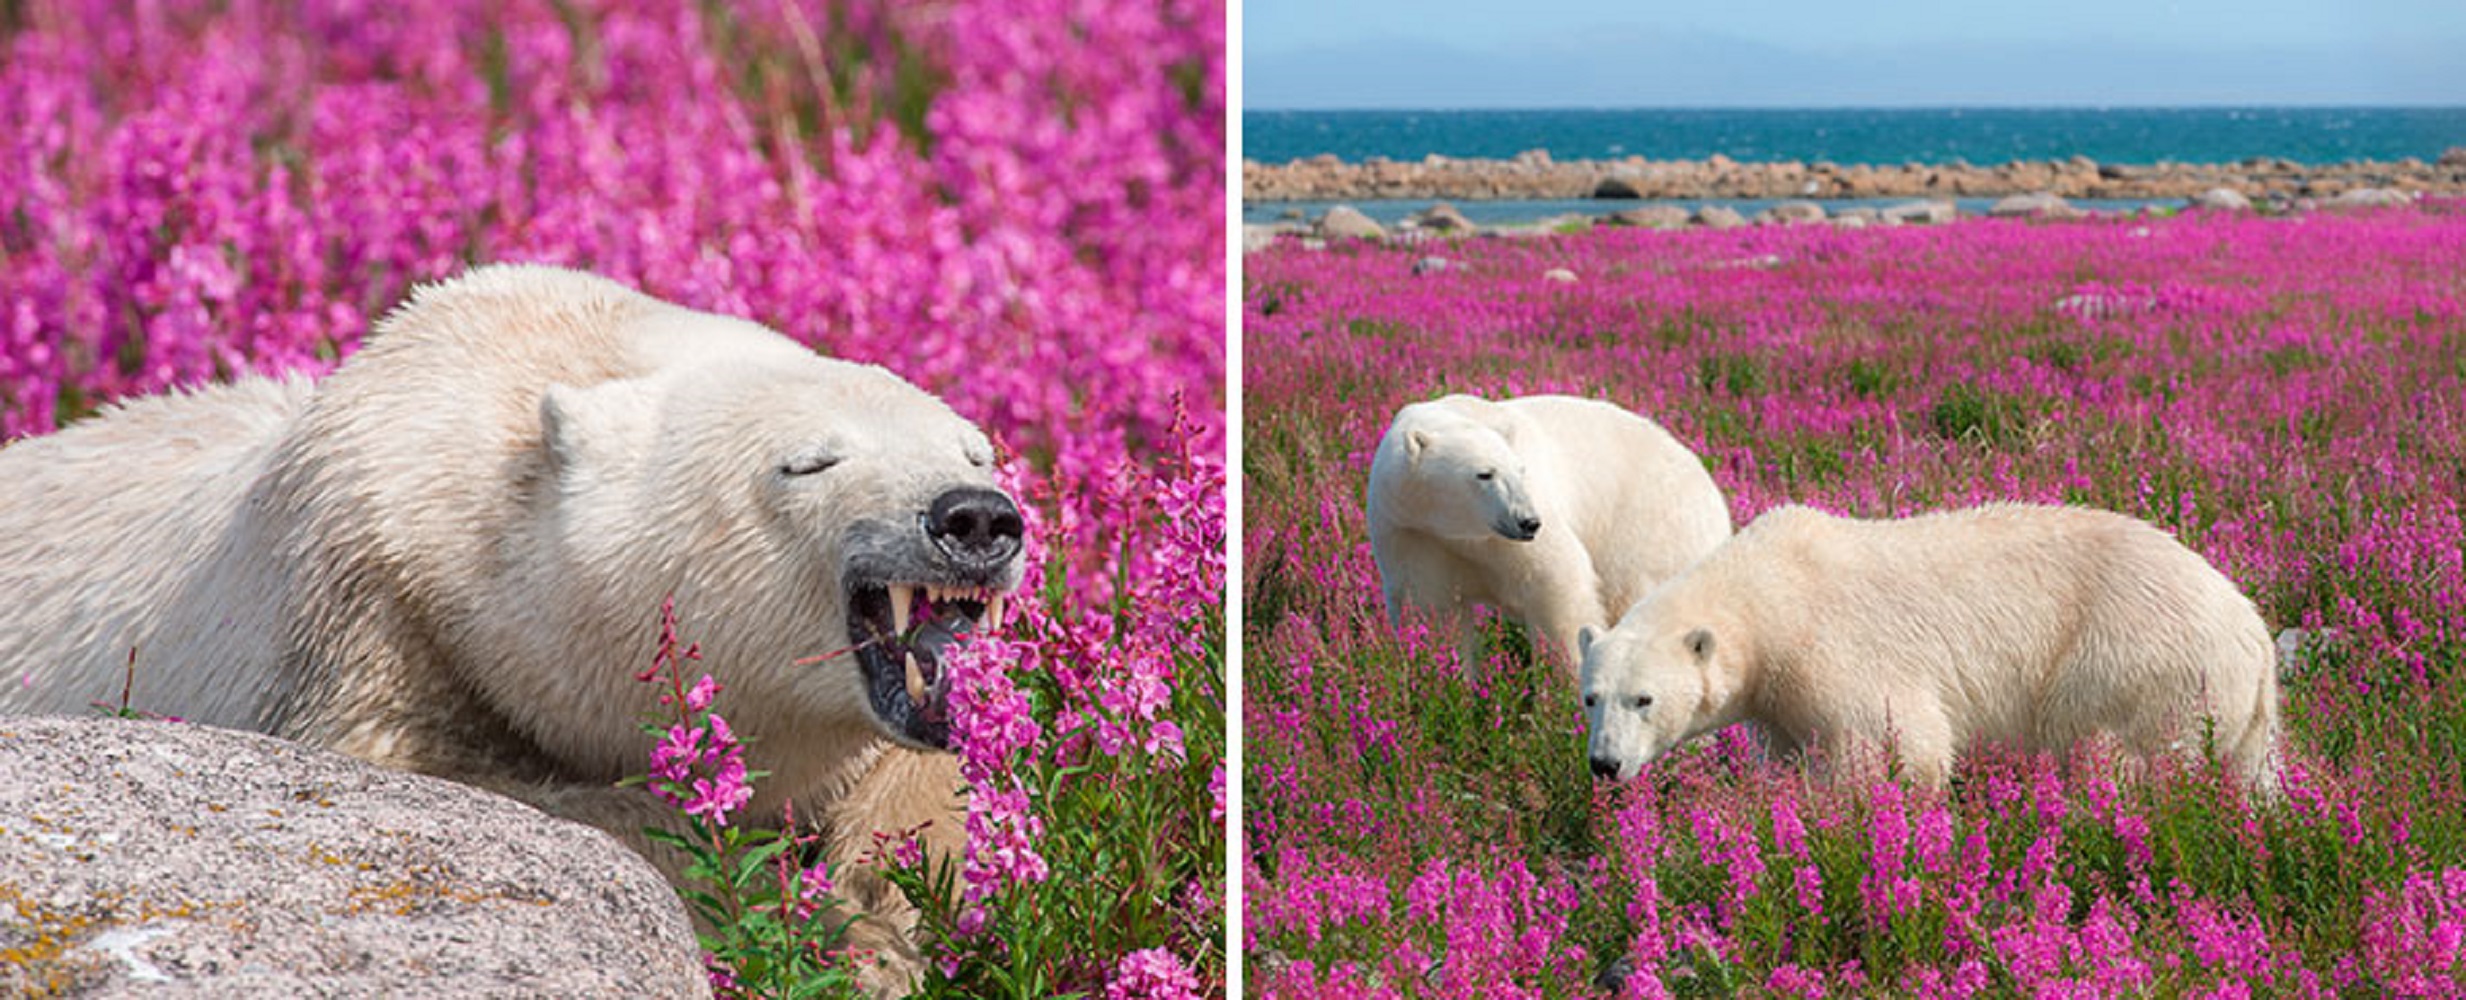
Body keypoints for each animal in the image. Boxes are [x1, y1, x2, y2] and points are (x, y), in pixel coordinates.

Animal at [0, 263, 1020, 985]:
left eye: (974, 448)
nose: (974, 517)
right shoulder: (364, 611)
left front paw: (882, 920)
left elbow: (922, 787)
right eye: (808, 462)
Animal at [1371, 391, 1736, 669]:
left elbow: (1555, 583)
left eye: (1520, 469)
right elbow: (1432, 609)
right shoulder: (1413, 532)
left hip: (1652, 532)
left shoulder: (1518, 533)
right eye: (1484, 474)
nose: (1528, 521)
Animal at [1588, 504, 2278, 793]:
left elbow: (1899, 746)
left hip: (2134, 660)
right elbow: (1793, 750)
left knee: (2118, 754)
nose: (1604, 764)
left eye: (1643, 699)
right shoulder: (1777, 701)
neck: (1771, 593)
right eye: (1591, 698)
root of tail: (2253, 631)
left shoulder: (1832, 652)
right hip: (2241, 711)